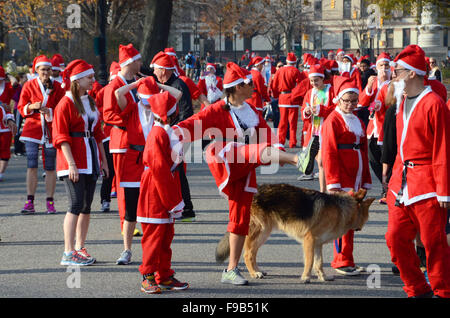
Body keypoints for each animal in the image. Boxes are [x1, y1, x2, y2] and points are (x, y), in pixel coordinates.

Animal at [216, 184, 374, 284]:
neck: (341, 208)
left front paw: (323, 277)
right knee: (248, 253)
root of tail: (253, 191)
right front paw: (305, 278)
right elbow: (310, 262)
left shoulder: (318, 244)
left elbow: (319, 263)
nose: (362, 227)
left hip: (264, 234)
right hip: (262, 231)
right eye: (366, 215)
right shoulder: (309, 241)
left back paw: (258, 271)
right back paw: (254, 274)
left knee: (252, 253)